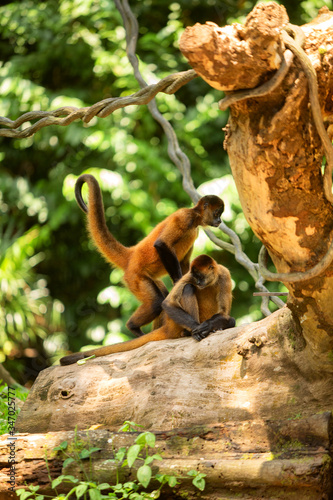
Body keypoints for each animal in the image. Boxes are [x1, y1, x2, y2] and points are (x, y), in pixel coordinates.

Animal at [59, 256, 235, 366]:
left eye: (200, 276)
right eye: (196, 275)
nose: (198, 281)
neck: (209, 282)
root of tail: (168, 326)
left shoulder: (224, 274)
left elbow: (224, 313)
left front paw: (208, 326)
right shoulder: (188, 275)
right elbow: (167, 304)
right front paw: (200, 329)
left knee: (229, 319)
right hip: (176, 323)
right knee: (188, 288)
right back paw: (189, 332)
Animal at [74, 175, 223, 336]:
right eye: (217, 213)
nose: (220, 221)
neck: (195, 219)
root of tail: (132, 254)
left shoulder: (195, 231)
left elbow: (184, 263)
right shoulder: (184, 217)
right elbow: (161, 244)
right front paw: (178, 281)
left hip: (150, 277)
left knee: (161, 295)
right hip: (135, 277)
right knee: (156, 302)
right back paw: (132, 327)